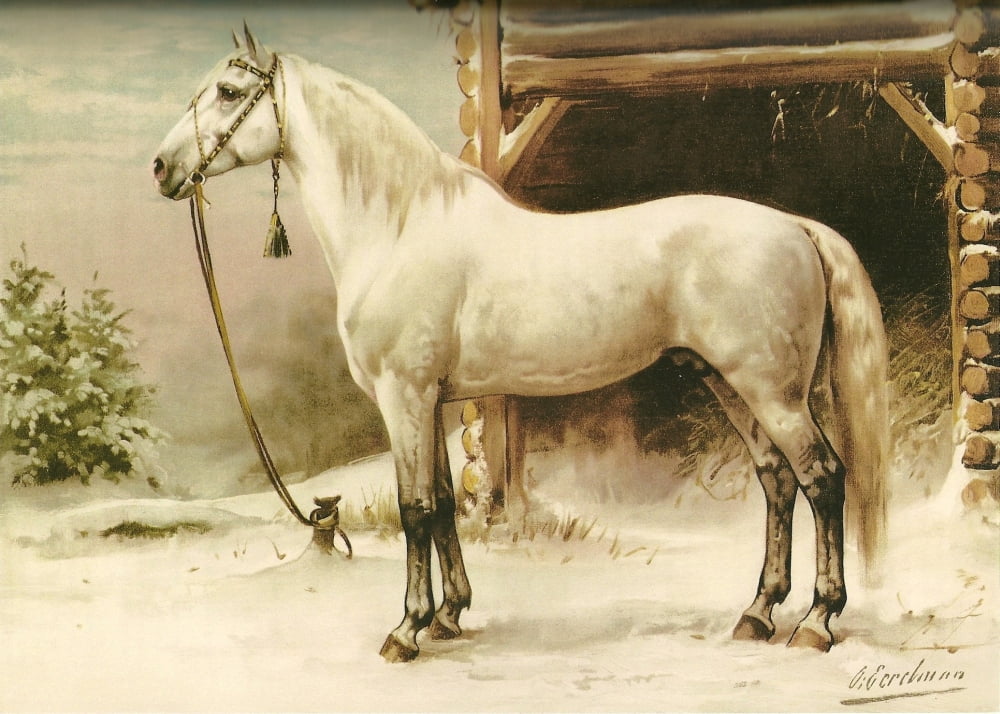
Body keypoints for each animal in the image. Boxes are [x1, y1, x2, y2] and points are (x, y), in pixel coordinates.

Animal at [153, 26, 888, 663]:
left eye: (227, 92)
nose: (162, 168)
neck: (400, 225)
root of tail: (796, 226)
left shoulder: (403, 397)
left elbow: (414, 508)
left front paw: (406, 630)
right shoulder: (434, 401)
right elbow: (444, 503)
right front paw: (449, 616)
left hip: (771, 392)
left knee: (822, 478)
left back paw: (817, 623)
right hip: (728, 381)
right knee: (777, 480)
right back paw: (757, 615)